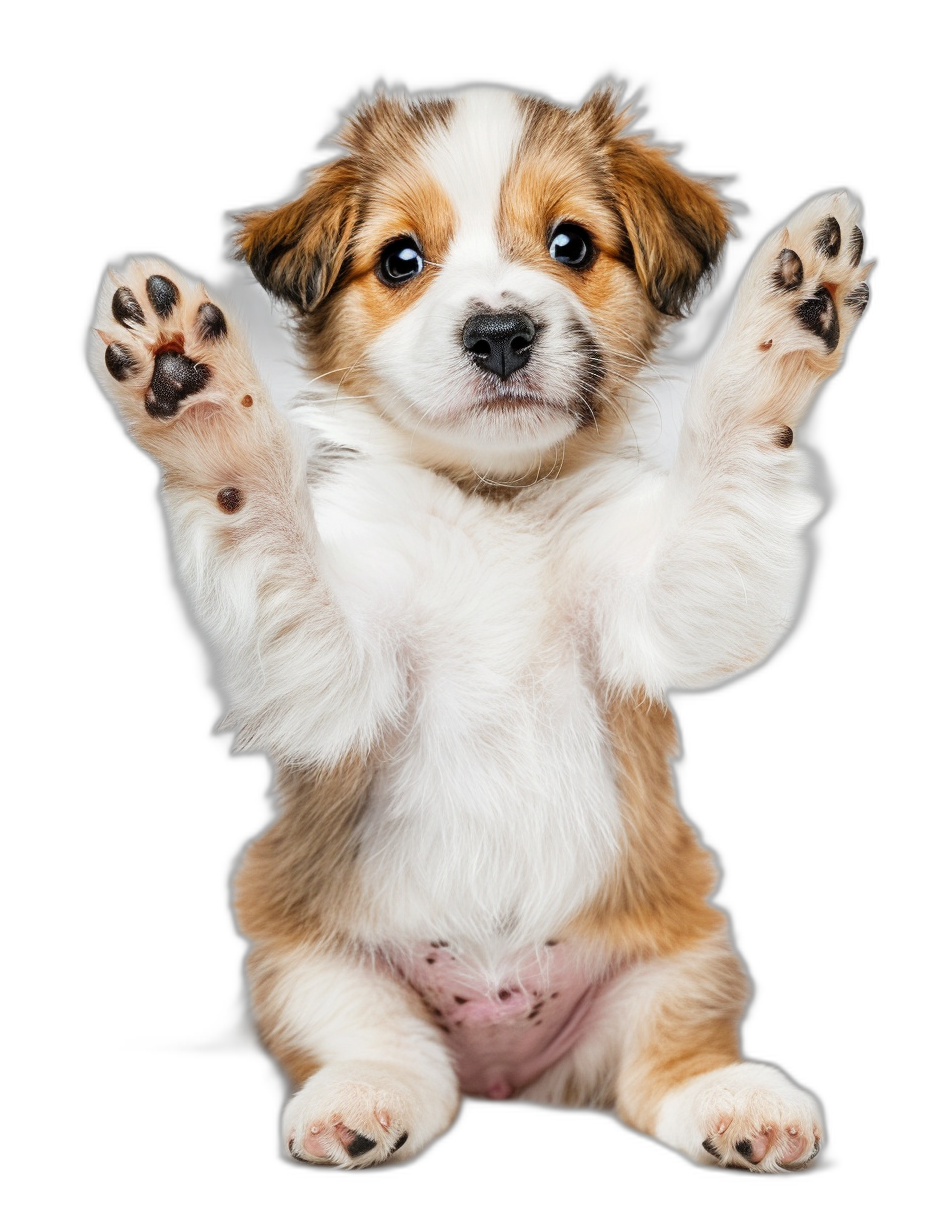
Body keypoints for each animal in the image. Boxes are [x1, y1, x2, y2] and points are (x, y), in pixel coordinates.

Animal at [86, 79, 867, 1172]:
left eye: (571, 244)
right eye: (401, 260)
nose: (499, 332)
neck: (493, 499)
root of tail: (505, 1066)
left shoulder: (669, 606)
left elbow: (722, 478)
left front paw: (786, 321)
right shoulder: (333, 673)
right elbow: (273, 529)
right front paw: (197, 397)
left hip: (685, 958)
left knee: (662, 1067)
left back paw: (733, 1100)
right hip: (310, 966)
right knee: (397, 1059)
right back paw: (362, 1099)